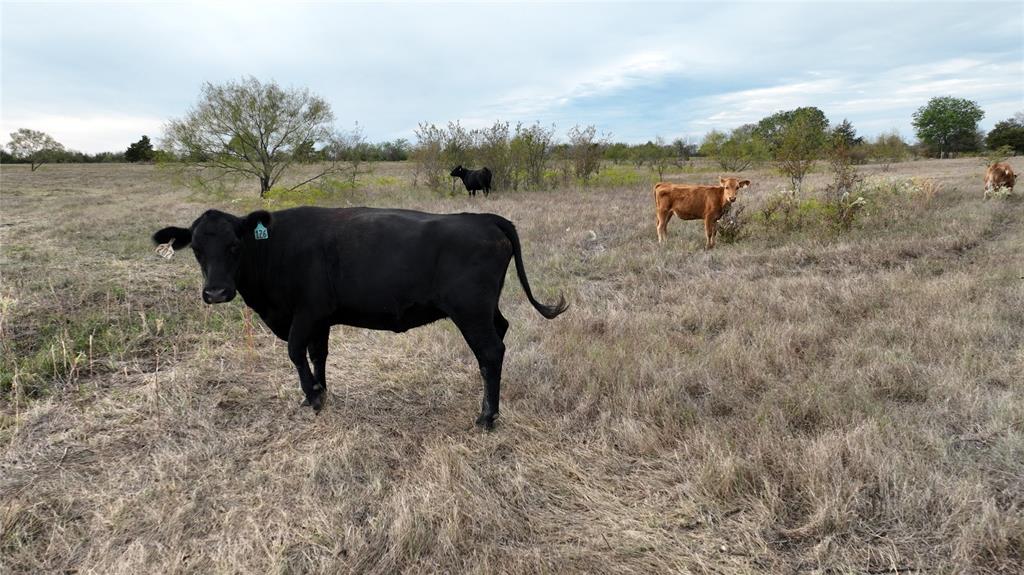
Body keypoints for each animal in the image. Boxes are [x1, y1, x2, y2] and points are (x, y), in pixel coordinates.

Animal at [151, 204, 569, 425]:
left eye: (235, 246)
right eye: (196, 249)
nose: (216, 292)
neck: (277, 249)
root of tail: (482, 217)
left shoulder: (307, 312)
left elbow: (294, 352)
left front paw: (311, 397)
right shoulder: (320, 319)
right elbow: (317, 354)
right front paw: (320, 391)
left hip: (470, 311)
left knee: (490, 352)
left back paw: (487, 417)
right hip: (485, 308)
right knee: (502, 333)